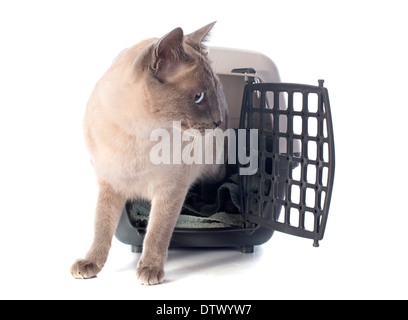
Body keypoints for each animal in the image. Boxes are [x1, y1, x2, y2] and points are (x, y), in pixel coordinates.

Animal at [71, 21, 228, 284]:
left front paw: (150, 270)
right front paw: (90, 264)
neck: (138, 137)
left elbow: (157, 232)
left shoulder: (170, 190)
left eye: (214, 92)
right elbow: (101, 229)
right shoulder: (109, 184)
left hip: (212, 169)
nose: (219, 121)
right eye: (198, 97)